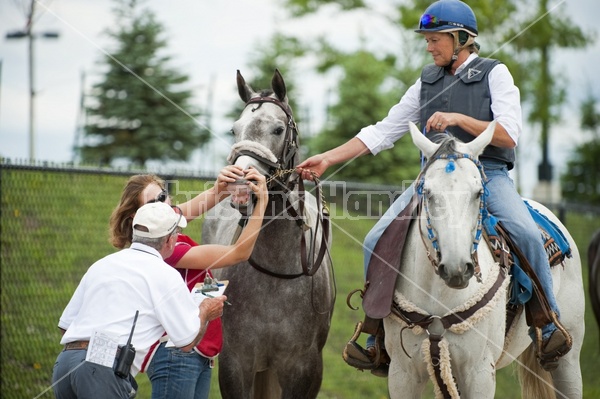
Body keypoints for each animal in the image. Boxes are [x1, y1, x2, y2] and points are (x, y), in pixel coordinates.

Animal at [382, 122, 584, 399]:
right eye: (428, 192)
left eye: (479, 193)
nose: (457, 268)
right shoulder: (402, 374)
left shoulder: (479, 374)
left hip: (568, 360)